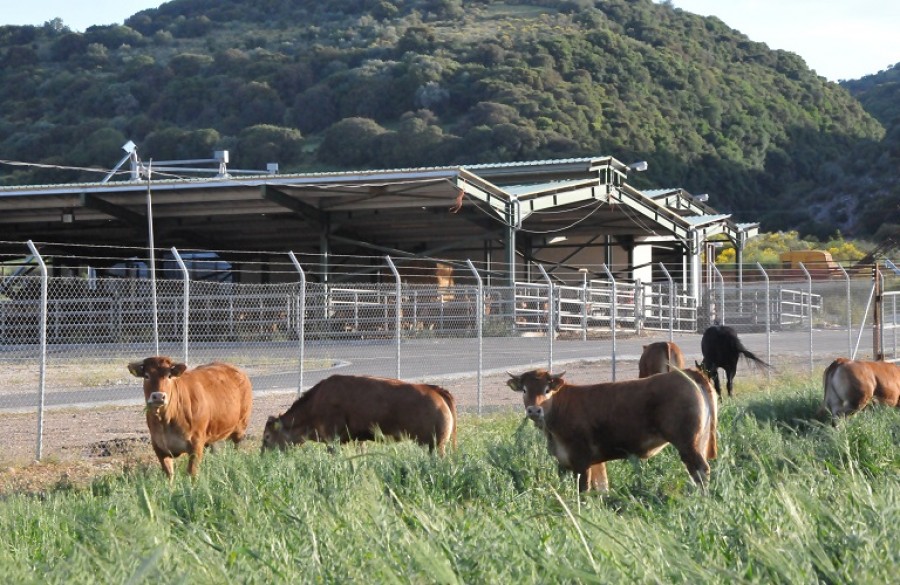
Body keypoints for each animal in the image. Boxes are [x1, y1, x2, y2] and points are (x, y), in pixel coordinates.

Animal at [126, 354, 255, 476]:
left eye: (169, 376)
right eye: (146, 376)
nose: (158, 396)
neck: (166, 420)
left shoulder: (196, 444)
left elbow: (191, 473)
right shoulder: (159, 447)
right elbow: (169, 474)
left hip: (240, 428)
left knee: (237, 448)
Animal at [260, 376, 458, 454]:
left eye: (267, 436)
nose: (263, 456)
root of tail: (436, 390)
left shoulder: (333, 440)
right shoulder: (358, 440)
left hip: (436, 446)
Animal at [506, 368, 716, 490]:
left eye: (547, 390)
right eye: (524, 390)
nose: (534, 410)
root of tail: (684, 373)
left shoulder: (581, 459)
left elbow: (583, 489)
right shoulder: (575, 461)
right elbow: (601, 487)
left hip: (688, 443)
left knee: (701, 470)